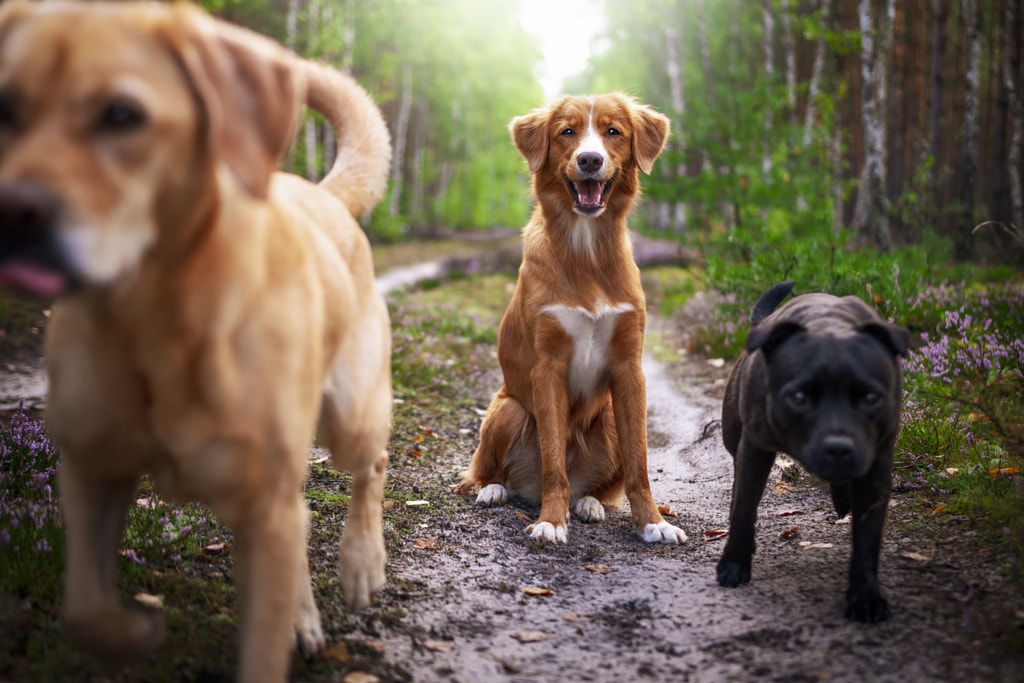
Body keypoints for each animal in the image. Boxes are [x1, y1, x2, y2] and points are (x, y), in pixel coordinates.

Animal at [0, 2, 391, 679]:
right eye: (4, 109)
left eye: (122, 114)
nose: (12, 213)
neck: (157, 321)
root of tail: (317, 192)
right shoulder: (91, 468)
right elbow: (85, 608)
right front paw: (133, 632)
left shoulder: (263, 501)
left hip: (350, 415)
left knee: (371, 465)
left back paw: (362, 565)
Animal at [458, 94, 684, 544]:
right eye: (567, 132)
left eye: (613, 131)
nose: (590, 160)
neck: (587, 252)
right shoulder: (548, 366)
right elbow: (553, 460)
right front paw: (550, 521)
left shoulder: (629, 367)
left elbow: (639, 464)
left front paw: (654, 522)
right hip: (507, 409)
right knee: (487, 472)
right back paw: (495, 490)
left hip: (608, 417)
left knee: (598, 486)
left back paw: (589, 502)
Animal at [716, 280, 909, 622]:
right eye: (799, 396)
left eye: (871, 397)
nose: (838, 445)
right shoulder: (754, 449)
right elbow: (743, 508)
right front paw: (735, 565)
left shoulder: (876, 468)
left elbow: (868, 537)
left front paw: (866, 595)